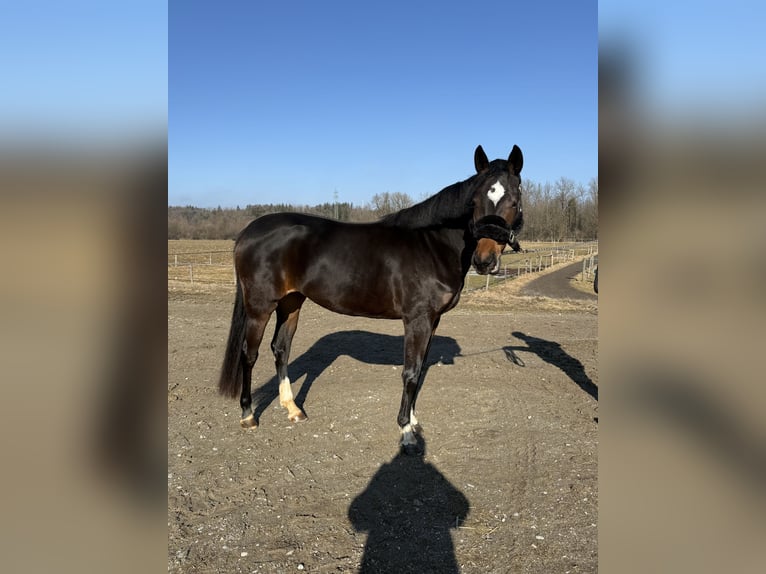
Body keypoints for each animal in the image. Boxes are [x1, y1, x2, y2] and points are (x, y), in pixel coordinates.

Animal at [218, 145, 524, 452]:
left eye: (514, 199)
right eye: (474, 201)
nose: (484, 261)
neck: (432, 245)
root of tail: (247, 232)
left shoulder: (432, 320)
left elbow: (420, 368)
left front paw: (414, 422)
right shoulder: (417, 319)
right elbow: (410, 372)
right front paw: (406, 432)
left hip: (291, 302)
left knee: (281, 349)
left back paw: (293, 409)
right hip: (260, 307)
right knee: (249, 354)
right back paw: (248, 415)